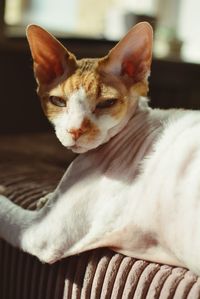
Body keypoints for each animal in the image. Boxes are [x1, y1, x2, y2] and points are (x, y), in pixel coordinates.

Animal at [0, 21, 200, 276]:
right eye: (58, 101)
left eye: (107, 103)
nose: (75, 130)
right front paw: (45, 198)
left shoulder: (42, 233)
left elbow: (4, 208)